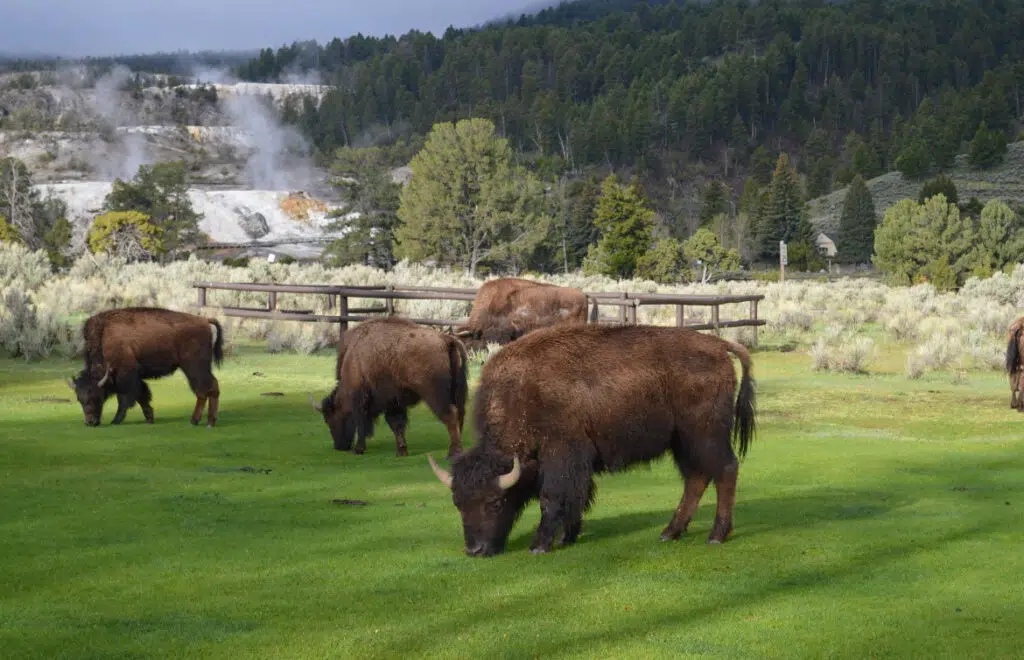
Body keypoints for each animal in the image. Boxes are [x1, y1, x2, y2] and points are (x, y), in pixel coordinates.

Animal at [67, 307, 224, 427]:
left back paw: (201, 421)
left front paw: (116, 420)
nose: (90, 422)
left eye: (95, 396)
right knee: (209, 388)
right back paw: (205, 421)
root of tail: (204, 320)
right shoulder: (134, 379)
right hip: (198, 367)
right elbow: (142, 396)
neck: (104, 337)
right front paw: (149, 418)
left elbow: (125, 399)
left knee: (205, 389)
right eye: (79, 399)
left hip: (194, 367)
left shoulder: (126, 377)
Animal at [311, 316, 469, 458]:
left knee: (450, 415)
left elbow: (361, 422)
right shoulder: (394, 402)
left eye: (329, 418)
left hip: (434, 395)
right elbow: (396, 424)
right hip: (457, 392)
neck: (353, 358)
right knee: (460, 416)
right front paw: (401, 452)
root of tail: (447, 340)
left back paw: (453, 453)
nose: (339, 446)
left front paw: (359, 449)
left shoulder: (361, 399)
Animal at [427, 323, 756, 557]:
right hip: (682, 442)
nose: (475, 550)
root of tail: (719, 346)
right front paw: (567, 537)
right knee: (696, 478)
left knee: (725, 470)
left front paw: (540, 545)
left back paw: (716, 536)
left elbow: (552, 498)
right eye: (458, 503)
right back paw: (670, 532)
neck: (521, 393)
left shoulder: (561, 455)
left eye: (495, 503)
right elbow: (578, 496)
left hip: (705, 435)